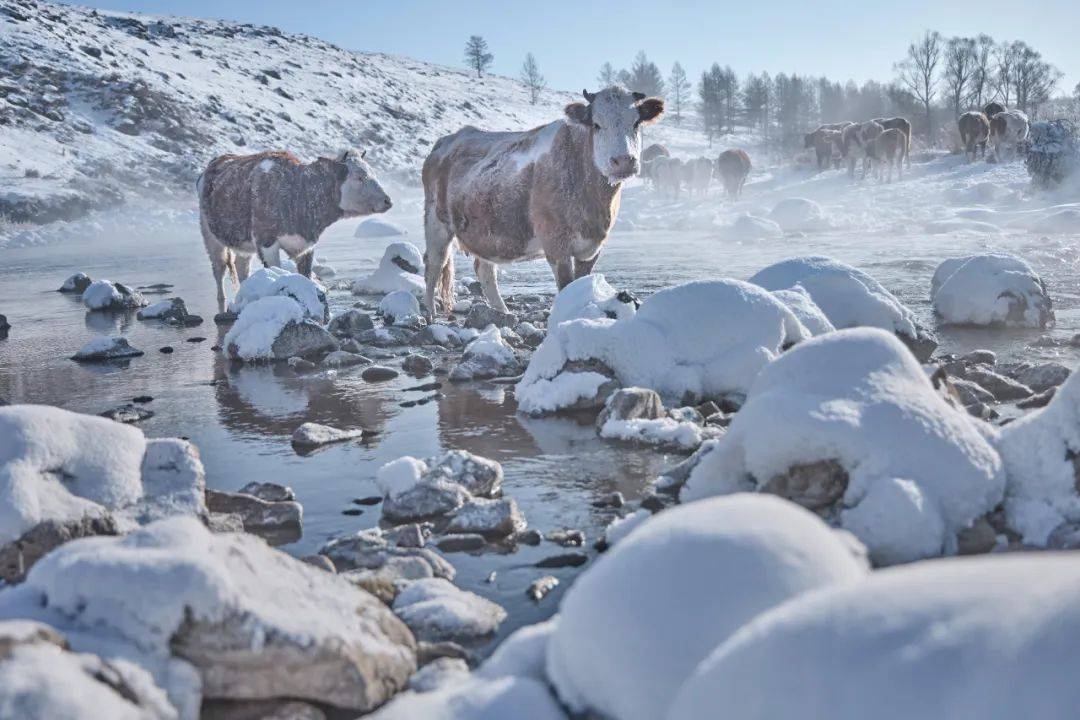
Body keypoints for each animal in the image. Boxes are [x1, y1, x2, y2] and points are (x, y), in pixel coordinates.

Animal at [198, 148, 393, 313]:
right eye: (360, 177)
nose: (388, 201)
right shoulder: (266, 242)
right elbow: (276, 272)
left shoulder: (306, 246)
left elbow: (305, 276)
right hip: (209, 234)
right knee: (219, 268)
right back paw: (222, 299)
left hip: (243, 243)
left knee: (241, 266)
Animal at [419, 85, 656, 317]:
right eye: (597, 125)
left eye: (636, 123)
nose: (623, 161)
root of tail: (448, 140)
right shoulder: (556, 244)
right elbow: (566, 285)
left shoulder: (592, 247)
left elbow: (580, 284)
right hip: (436, 222)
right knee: (434, 263)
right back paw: (430, 312)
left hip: (485, 232)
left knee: (484, 270)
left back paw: (502, 312)